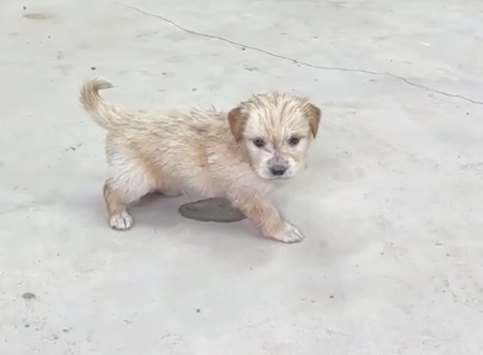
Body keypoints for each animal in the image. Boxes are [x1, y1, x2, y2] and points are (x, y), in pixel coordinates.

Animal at [79, 78, 322, 243]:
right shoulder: (247, 193)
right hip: (135, 179)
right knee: (110, 189)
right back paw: (118, 215)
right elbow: (268, 213)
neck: (244, 153)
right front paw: (283, 230)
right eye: (258, 142)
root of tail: (125, 118)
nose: (278, 170)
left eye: (294, 140)